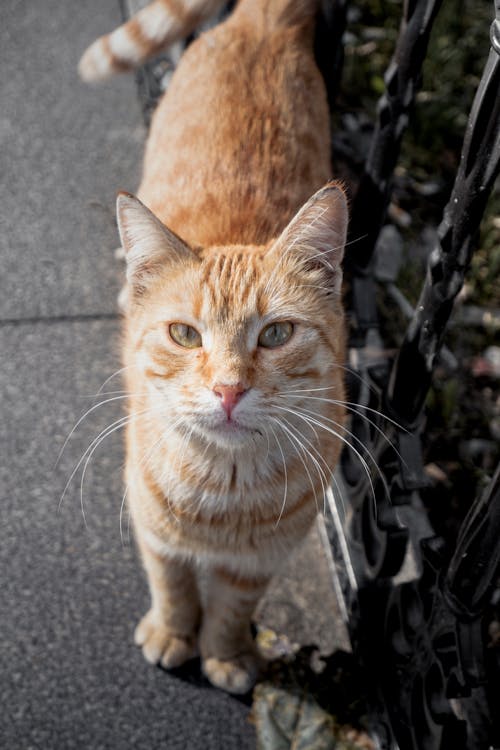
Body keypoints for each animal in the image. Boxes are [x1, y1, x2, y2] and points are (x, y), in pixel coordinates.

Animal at [81, 0, 348, 696]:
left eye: (275, 334)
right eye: (184, 334)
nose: (229, 389)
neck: (224, 493)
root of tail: (262, 18)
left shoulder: (261, 562)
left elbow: (232, 607)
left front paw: (225, 654)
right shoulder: (154, 531)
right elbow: (173, 586)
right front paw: (173, 635)